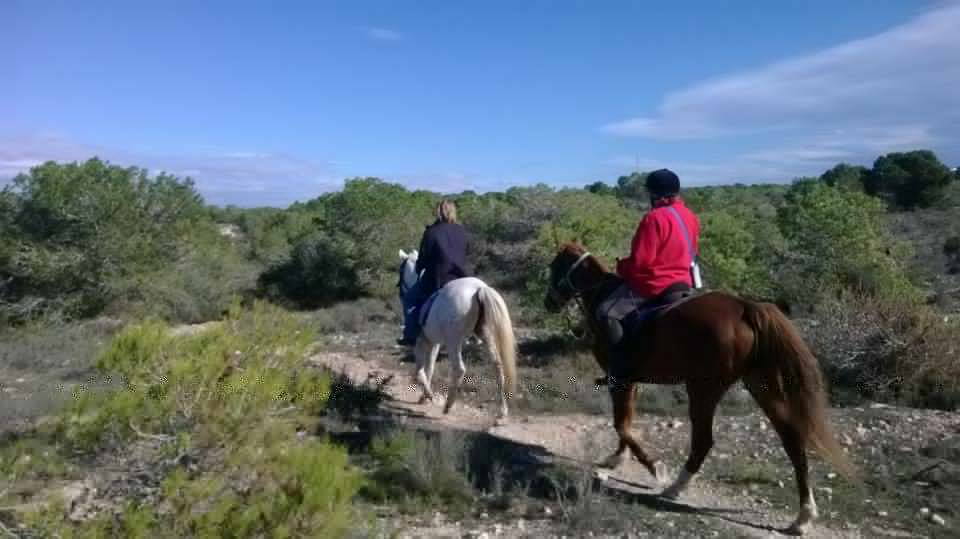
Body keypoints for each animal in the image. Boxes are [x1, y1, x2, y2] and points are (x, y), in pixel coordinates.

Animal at [398, 249, 516, 422]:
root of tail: (479, 288)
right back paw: (502, 412)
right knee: (498, 366)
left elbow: (420, 370)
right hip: (485, 336)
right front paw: (423, 397)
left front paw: (428, 394)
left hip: (454, 341)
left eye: (401, 271)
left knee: (459, 369)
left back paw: (448, 405)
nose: (400, 291)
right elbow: (429, 367)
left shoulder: (422, 341)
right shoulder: (433, 342)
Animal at [544, 245, 852, 536]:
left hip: (703, 389)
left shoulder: (619, 379)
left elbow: (621, 423)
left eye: (555, 266)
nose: (549, 302)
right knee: (793, 442)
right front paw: (618, 458)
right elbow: (626, 421)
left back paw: (675, 487)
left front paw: (653, 466)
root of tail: (746, 307)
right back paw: (803, 517)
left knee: (703, 441)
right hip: (763, 387)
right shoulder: (628, 381)